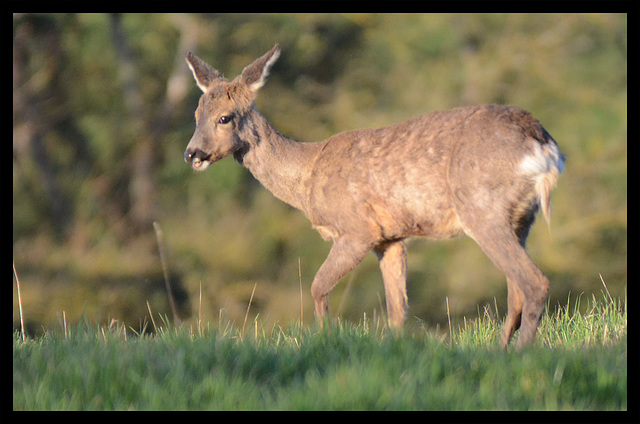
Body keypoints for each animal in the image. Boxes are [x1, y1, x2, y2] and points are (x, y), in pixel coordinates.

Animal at [184, 44, 564, 350]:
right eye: (196, 114)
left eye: (225, 117)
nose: (192, 153)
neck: (308, 176)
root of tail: (542, 142)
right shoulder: (390, 238)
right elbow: (397, 308)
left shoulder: (358, 229)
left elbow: (317, 286)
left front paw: (326, 339)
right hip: (520, 220)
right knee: (515, 292)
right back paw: (499, 351)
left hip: (482, 210)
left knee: (535, 283)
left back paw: (519, 353)